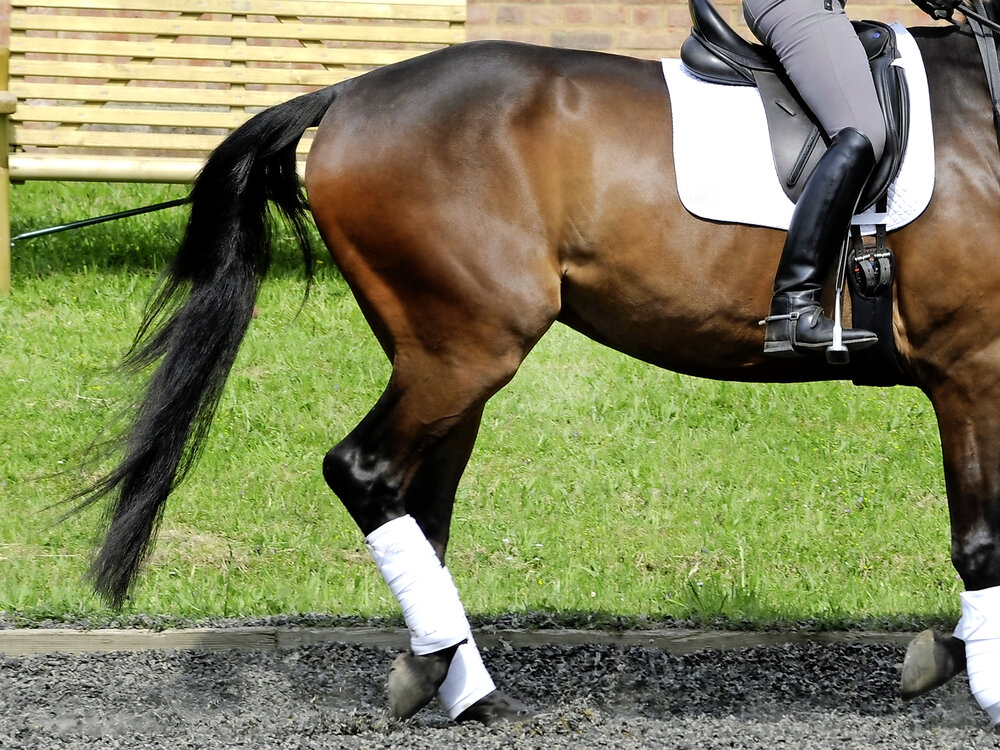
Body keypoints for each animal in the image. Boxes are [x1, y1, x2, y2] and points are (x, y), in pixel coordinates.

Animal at [74, 4, 1000, 726]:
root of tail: (349, 94)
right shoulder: (972, 369)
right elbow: (982, 540)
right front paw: (974, 682)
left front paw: (950, 656)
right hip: (468, 348)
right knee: (365, 470)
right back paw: (451, 678)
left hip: (441, 352)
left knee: (421, 500)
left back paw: (449, 676)